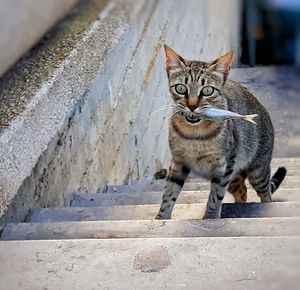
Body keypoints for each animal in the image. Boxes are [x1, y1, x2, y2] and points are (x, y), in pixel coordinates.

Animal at [156, 44, 288, 220]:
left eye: (207, 91)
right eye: (181, 88)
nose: (192, 106)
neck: (194, 136)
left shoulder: (223, 167)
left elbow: (215, 195)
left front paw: (210, 217)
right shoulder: (178, 163)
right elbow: (169, 194)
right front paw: (161, 217)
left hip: (257, 170)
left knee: (266, 193)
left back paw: (265, 206)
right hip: (234, 177)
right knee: (242, 191)